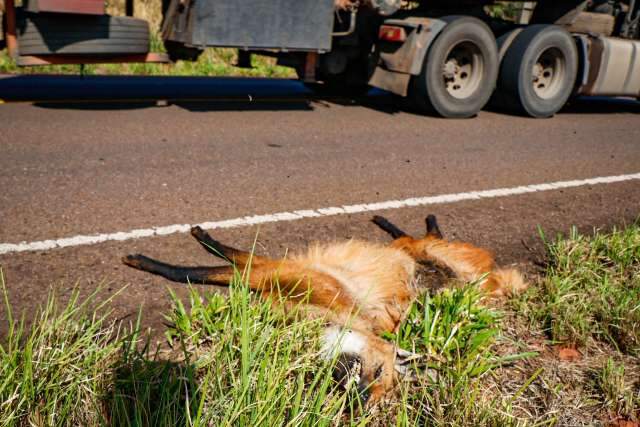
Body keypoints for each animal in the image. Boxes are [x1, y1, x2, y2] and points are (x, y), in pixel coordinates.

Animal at [124, 216, 524, 406]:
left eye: (380, 393)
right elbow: (202, 266)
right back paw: (402, 221)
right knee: (416, 238)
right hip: (442, 261)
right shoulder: (274, 273)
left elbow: (223, 263)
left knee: (413, 238)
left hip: (452, 275)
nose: (361, 400)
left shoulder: (269, 283)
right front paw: (149, 258)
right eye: (378, 373)